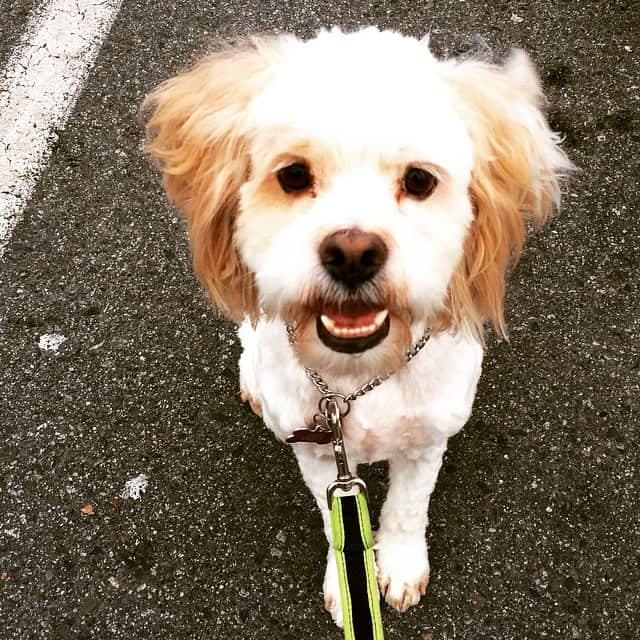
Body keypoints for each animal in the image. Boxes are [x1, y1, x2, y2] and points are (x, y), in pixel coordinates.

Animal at [144, 28, 568, 624]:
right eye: (293, 175)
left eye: (419, 180)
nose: (352, 253)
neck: (358, 375)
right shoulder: (319, 453)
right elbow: (334, 523)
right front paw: (349, 581)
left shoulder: (426, 440)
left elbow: (407, 511)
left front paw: (399, 566)